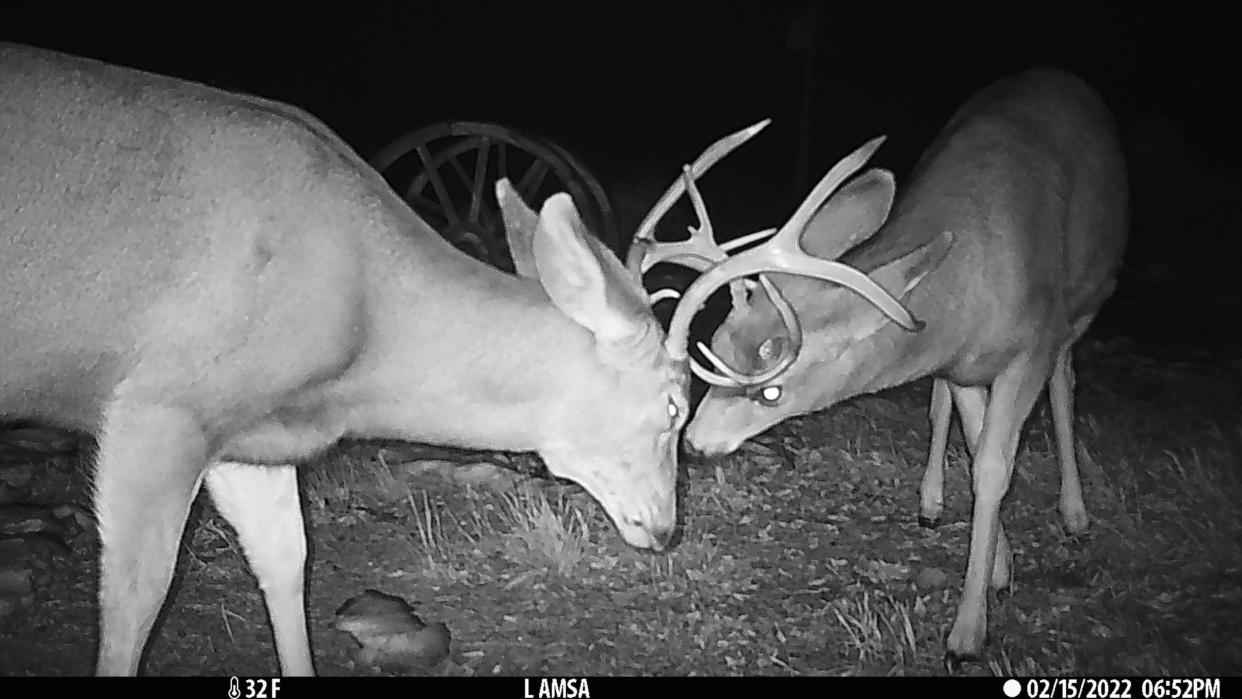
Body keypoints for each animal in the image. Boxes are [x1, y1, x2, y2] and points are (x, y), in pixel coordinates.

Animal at [630, 67, 1127, 660]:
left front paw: (967, 632)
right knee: (943, 409)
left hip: (1086, 304)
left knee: (1065, 382)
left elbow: (993, 467)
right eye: (721, 346)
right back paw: (931, 502)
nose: (695, 445)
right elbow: (975, 442)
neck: (967, 286)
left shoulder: (1032, 343)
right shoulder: (960, 362)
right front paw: (999, 568)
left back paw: (1074, 514)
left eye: (771, 391)